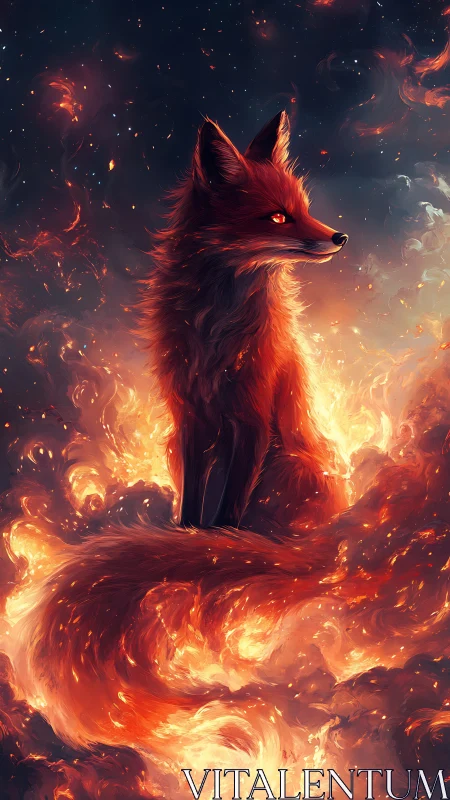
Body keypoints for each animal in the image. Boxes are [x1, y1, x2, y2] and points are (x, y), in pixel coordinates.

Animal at [141, 110, 348, 532]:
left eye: (304, 209)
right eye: (278, 217)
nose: (341, 237)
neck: (217, 326)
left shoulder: (254, 417)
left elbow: (229, 510)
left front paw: (220, 540)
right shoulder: (190, 419)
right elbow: (194, 501)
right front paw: (189, 533)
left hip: (291, 464)